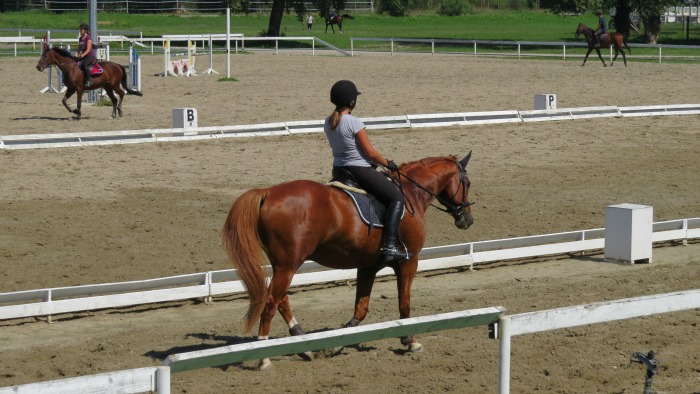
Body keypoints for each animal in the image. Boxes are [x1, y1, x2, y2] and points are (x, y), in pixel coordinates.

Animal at [223, 152, 476, 370]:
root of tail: (268, 192)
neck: (410, 193)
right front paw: (410, 340)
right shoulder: (408, 261)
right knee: (271, 302)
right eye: (467, 183)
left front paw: (339, 342)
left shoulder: (368, 266)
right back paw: (264, 357)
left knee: (280, 299)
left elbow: (361, 309)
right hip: (288, 265)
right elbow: (404, 303)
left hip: (283, 264)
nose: (468, 220)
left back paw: (302, 342)